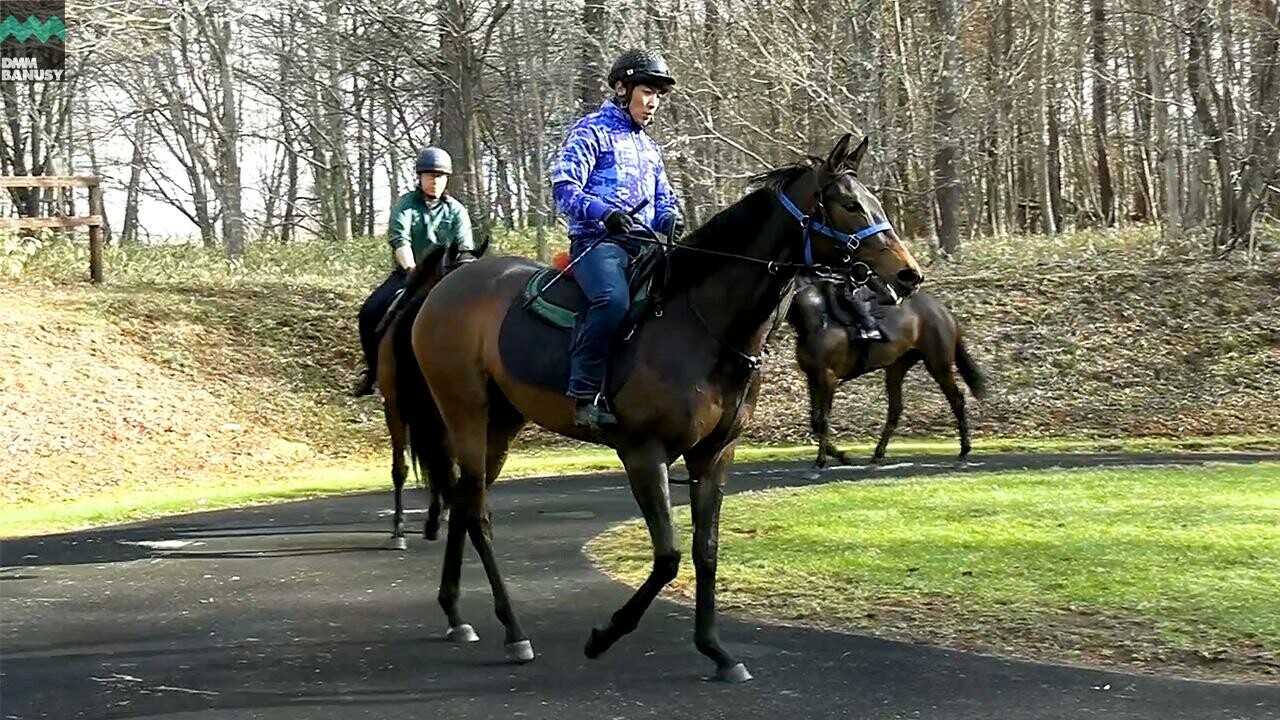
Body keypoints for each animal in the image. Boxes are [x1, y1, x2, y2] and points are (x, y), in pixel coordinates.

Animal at [404, 133, 926, 676]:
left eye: (872, 200)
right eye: (848, 204)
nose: (908, 275)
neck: (699, 326)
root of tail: (445, 287)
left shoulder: (714, 456)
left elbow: (705, 551)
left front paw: (716, 650)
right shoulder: (644, 454)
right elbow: (669, 556)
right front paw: (605, 634)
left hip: (502, 425)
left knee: (464, 503)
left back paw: (456, 614)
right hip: (465, 412)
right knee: (478, 513)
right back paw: (513, 630)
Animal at [788, 274, 988, 466]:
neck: (817, 319)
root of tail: (943, 310)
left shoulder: (828, 378)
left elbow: (823, 420)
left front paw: (822, 460)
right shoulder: (813, 376)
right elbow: (815, 421)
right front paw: (841, 455)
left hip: (938, 364)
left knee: (956, 400)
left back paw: (965, 448)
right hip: (897, 367)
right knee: (895, 409)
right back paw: (878, 453)